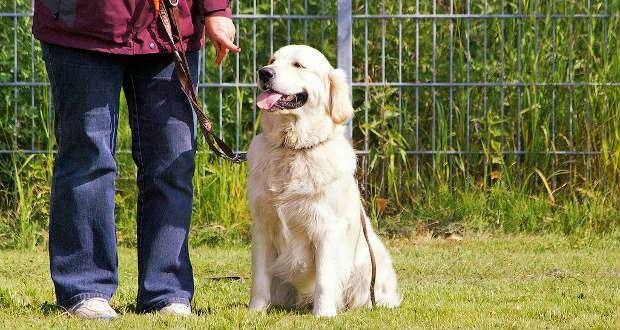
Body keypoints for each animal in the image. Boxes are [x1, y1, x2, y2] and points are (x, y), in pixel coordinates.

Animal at [247, 45, 402, 316]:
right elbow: (259, 280)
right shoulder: (263, 226)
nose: (264, 72)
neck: (293, 149)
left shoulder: (327, 227)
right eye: (272, 60)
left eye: (298, 65)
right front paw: (255, 311)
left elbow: (324, 278)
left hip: (369, 266)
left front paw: (323, 314)